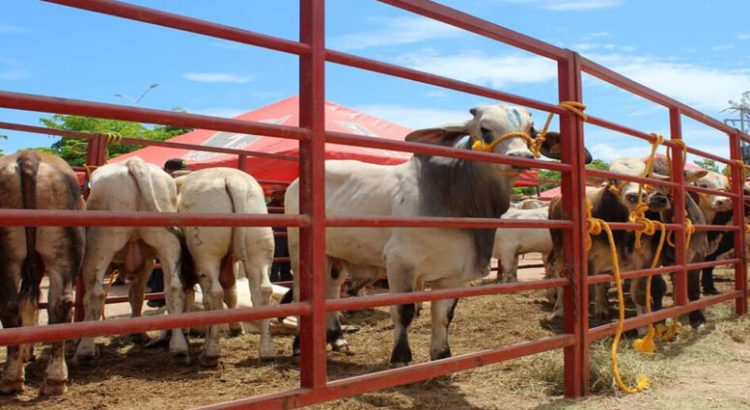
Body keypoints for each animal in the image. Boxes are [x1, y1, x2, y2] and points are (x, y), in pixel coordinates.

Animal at [0, 152, 85, 396]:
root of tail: (28, 156)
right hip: (61, 255)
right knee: (58, 305)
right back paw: (53, 379)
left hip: (9, 258)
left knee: (13, 306)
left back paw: (15, 377)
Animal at [74, 157, 191, 362]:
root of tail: (134, 162)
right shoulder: (146, 263)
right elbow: (136, 294)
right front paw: (138, 333)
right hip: (167, 242)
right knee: (174, 288)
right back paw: (178, 346)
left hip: (100, 244)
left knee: (94, 293)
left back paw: (86, 349)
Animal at [178, 167, 278, 366]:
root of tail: (233, 181)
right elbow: (231, 292)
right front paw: (236, 328)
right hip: (259, 245)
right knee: (262, 290)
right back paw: (267, 350)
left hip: (206, 253)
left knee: (214, 294)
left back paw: (210, 351)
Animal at [284, 104, 592, 366]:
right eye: (485, 129)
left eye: (531, 130)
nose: (521, 157)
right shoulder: (400, 263)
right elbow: (405, 311)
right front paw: (401, 357)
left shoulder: (454, 273)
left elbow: (444, 314)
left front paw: (442, 355)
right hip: (299, 251)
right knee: (302, 293)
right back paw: (300, 345)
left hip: (335, 255)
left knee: (331, 289)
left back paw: (336, 338)